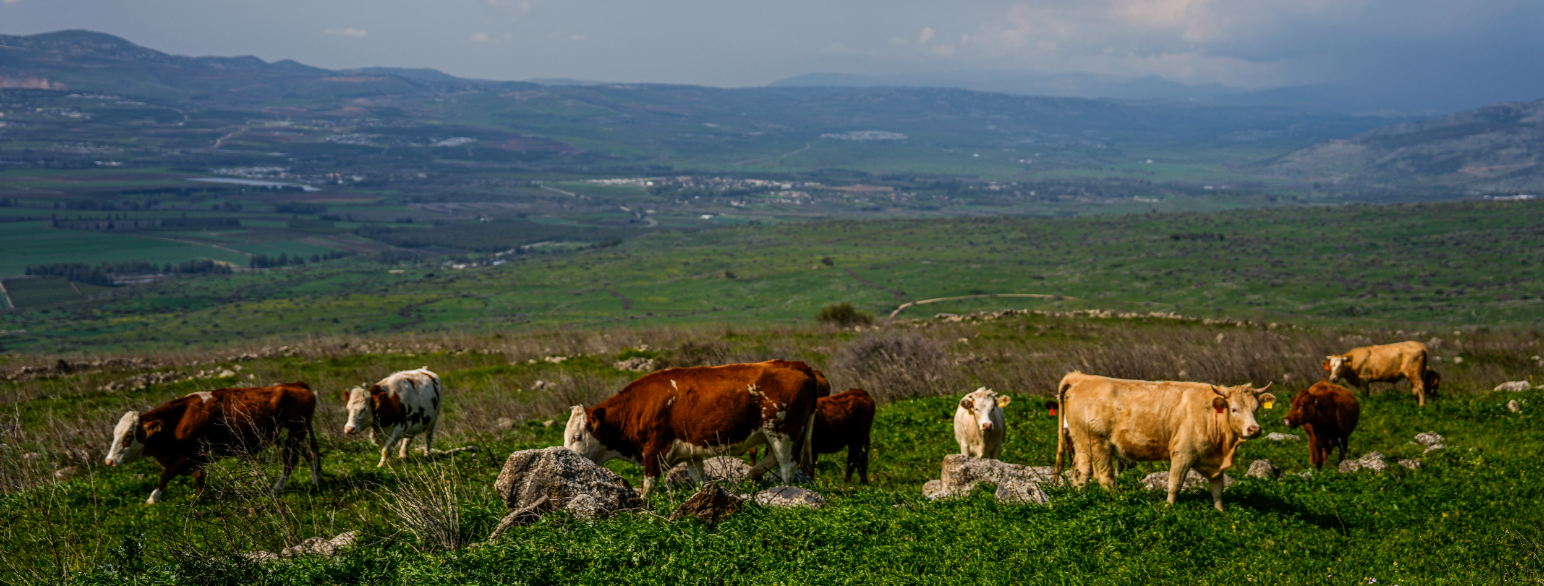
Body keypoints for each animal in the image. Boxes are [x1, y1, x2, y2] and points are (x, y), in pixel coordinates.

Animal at [103, 383, 322, 502]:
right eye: (115, 434)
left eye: (128, 436)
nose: (109, 461)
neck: (180, 419)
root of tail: (296, 385)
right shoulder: (196, 457)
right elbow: (200, 476)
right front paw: (202, 496)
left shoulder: (187, 455)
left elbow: (166, 474)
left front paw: (153, 497)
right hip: (294, 436)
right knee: (310, 455)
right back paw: (315, 482)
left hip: (294, 434)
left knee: (290, 461)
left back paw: (277, 488)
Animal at [558, 359, 821, 496]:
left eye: (577, 437)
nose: (565, 456)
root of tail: (796, 365)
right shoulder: (693, 454)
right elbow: (699, 481)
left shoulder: (654, 450)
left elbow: (647, 488)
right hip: (773, 434)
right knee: (774, 460)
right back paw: (750, 475)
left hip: (781, 431)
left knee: (787, 466)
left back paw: (783, 489)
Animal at [1049, 373, 1278, 511]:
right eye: (1234, 409)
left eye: (1256, 408)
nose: (1254, 429)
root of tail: (1081, 378)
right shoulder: (1182, 453)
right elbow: (1174, 483)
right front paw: (1169, 508)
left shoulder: (1213, 460)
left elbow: (1217, 487)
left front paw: (1220, 512)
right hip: (1099, 445)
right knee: (1105, 477)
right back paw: (1122, 502)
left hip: (1083, 445)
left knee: (1080, 474)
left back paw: (1081, 500)